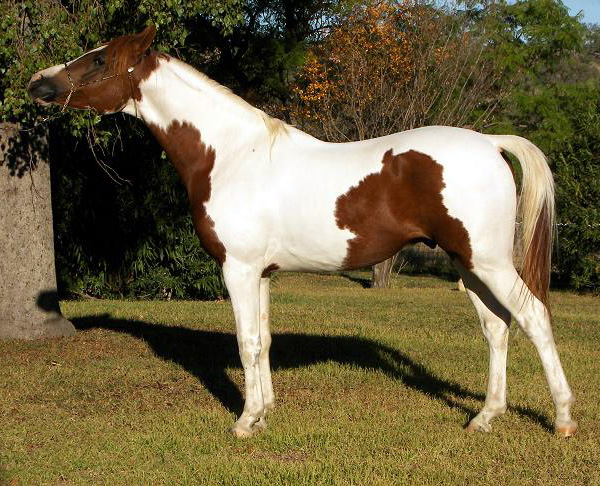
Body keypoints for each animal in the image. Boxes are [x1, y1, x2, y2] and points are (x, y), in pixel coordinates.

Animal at [28, 26, 577, 438]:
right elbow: (264, 340)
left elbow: (246, 341)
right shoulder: (262, 273)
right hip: (470, 265)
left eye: (99, 60)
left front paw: (245, 421)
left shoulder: (239, 269)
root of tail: (490, 142)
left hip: (489, 262)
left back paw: (563, 419)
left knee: (534, 317)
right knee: (497, 329)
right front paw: (266, 412)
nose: (38, 84)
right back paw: (484, 418)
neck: (228, 154)